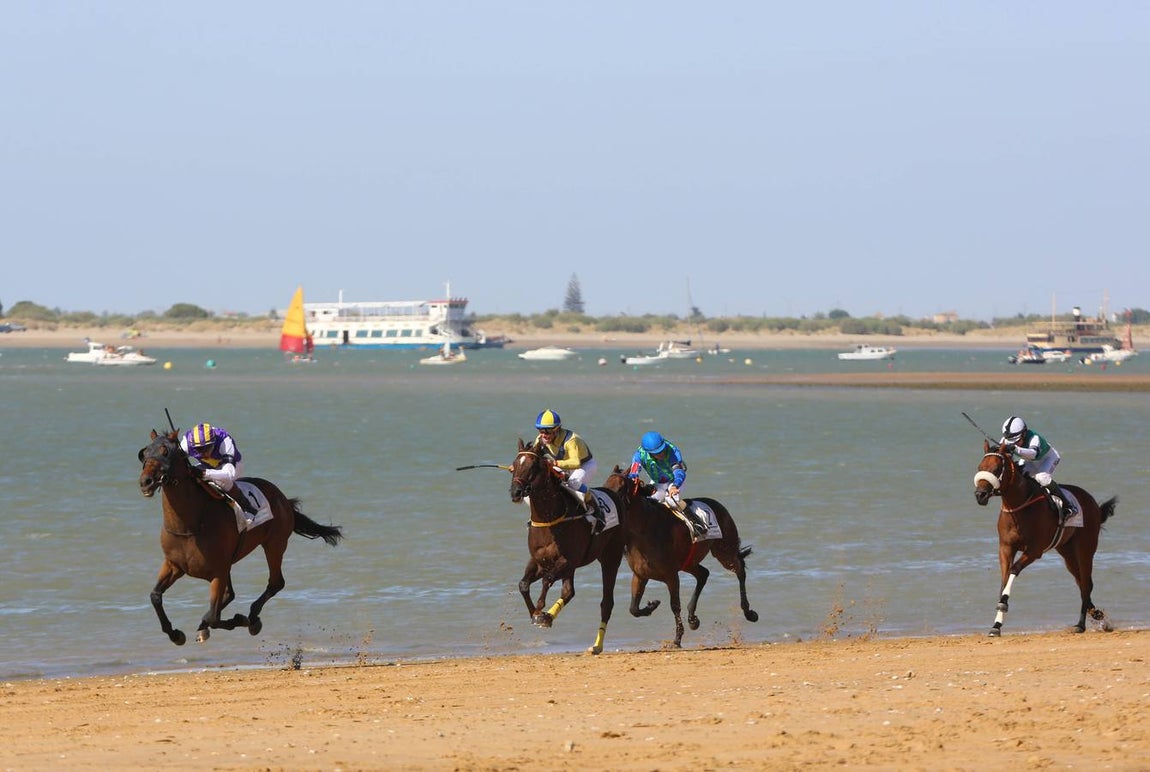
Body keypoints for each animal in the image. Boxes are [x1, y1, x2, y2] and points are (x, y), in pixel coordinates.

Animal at [137, 429, 344, 645]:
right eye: (144, 453)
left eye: (166, 452)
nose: (146, 482)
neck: (190, 525)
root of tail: (283, 498)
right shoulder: (174, 565)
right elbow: (155, 596)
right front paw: (176, 634)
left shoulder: (218, 571)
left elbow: (213, 616)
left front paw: (239, 620)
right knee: (230, 594)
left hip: (275, 543)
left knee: (275, 583)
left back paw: (252, 618)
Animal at [508, 438, 627, 654]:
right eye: (514, 465)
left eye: (533, 466)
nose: (516, 492)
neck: (549, 519)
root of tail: (613, 493)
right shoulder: (540, 561)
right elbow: (523, 584)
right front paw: (536, 613)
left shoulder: (566, 560)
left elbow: (547, 580)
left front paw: (540, 612)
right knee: (568, 592)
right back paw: (550, 616)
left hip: (610, 557)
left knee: (606, 601)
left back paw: (596, 645)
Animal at [602, 467, 758, 648]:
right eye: (605, 485)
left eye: (620, 487)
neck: (643, 531)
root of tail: (717, 504)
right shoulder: (640, 575)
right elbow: (633, 608)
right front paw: (652, 605)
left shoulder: (671, 574)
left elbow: (675, 605)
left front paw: (677, 639)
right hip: (689, 562)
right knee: (703, 574)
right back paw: (693, 619)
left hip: (724, 551)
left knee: (739, 569)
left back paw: (749, 612)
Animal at [973, 439, 1117, 636]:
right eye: (980, 467)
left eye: (996, 469)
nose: (980, 495)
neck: (1019, 505)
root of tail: (1092, 502)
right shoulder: (1006, 547)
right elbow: (1004, 577)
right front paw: (996, 625)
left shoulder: (1034, 550)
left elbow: (1014, 570)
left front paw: (1003, 604)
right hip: (1067, 553)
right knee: (1081, 582)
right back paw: (1096, 613)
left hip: (1085, 549)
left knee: (1086, 583)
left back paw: (1080, 624)